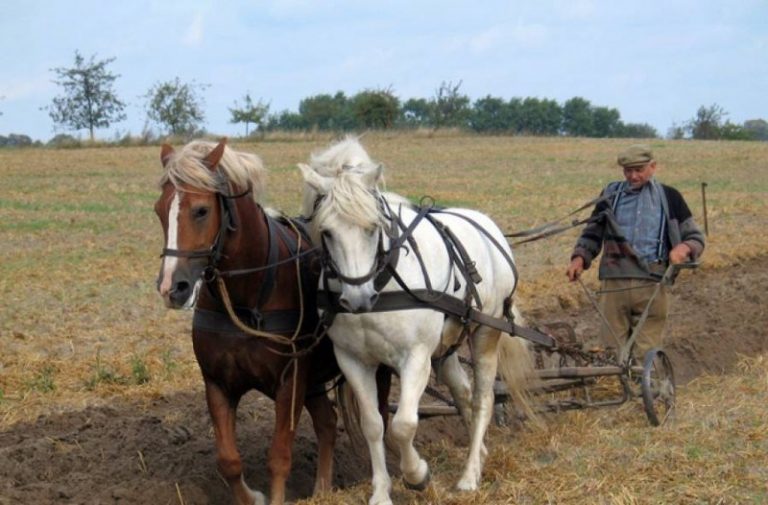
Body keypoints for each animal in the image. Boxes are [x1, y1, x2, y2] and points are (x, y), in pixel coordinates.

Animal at [153, 139, 340, 504]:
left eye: (201, 210)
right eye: (159, 209)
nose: (171, 288)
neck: (247, 296)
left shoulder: (291, 382)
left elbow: (279, 456)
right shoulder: (217, 383)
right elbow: (228, 461)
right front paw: (252, 496)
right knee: (327, 423)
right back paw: (322, 489)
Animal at [300, 138, 536, 504]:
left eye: (373, 228)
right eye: (326, 232)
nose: (357, 299)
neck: (383, 283)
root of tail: (488, 226)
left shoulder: (415, 357)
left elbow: (403, 425)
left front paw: (418, 475)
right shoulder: (353, 360)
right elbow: (373, 424)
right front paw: (381, 492)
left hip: (485, 331)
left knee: (482, 398)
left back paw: (469, 475)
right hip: (447, 346)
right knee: (463, 392)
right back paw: (479, 453)